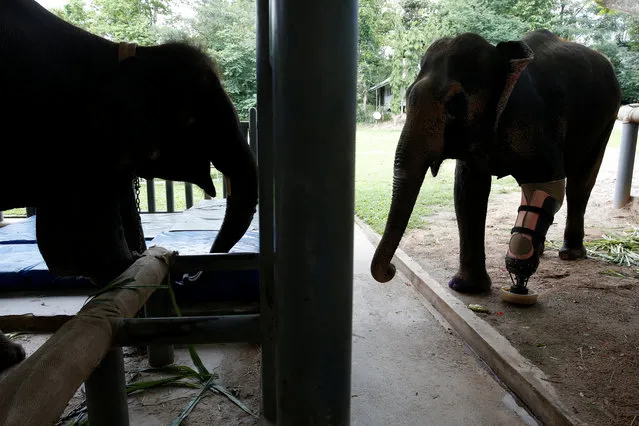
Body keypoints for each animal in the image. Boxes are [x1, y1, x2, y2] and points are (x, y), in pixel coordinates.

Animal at [370, 29, 620, 296]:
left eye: (455, 104)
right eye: (407, 97)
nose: (391, 270)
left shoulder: (537, 120)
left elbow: (547, 185)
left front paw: (518, 274)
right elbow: (468, 191)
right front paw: (467, 288)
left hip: (607, 120)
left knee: (579, 185)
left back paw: (570, 254)